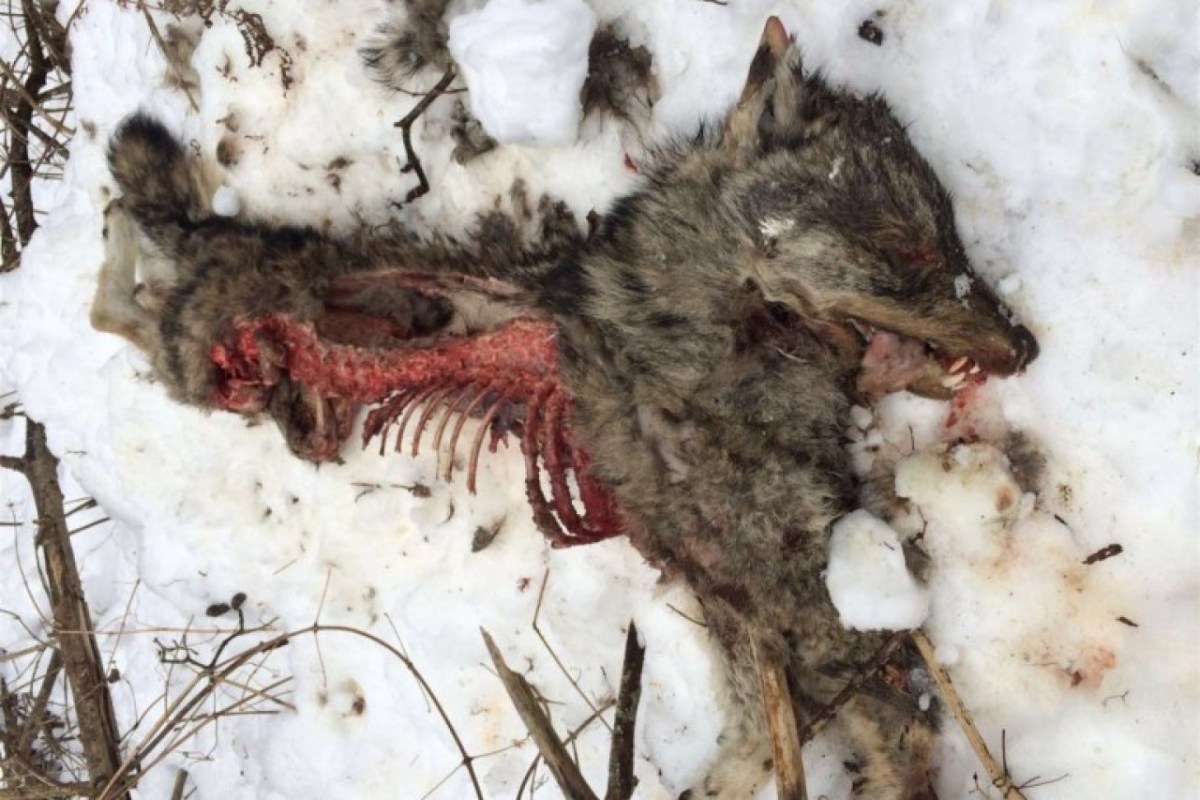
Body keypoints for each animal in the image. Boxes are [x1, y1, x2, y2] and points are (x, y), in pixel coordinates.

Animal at [91, 17, 1036, 800]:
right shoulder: (772, 572)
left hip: (218, 377)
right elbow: (886, 721)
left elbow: (778, 736)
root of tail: (216, 251)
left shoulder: (740, 583)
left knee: (126, 305)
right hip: (202, 363)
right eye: (906, 247)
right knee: (119, 287)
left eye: (953, 240)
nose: (1025, 344)